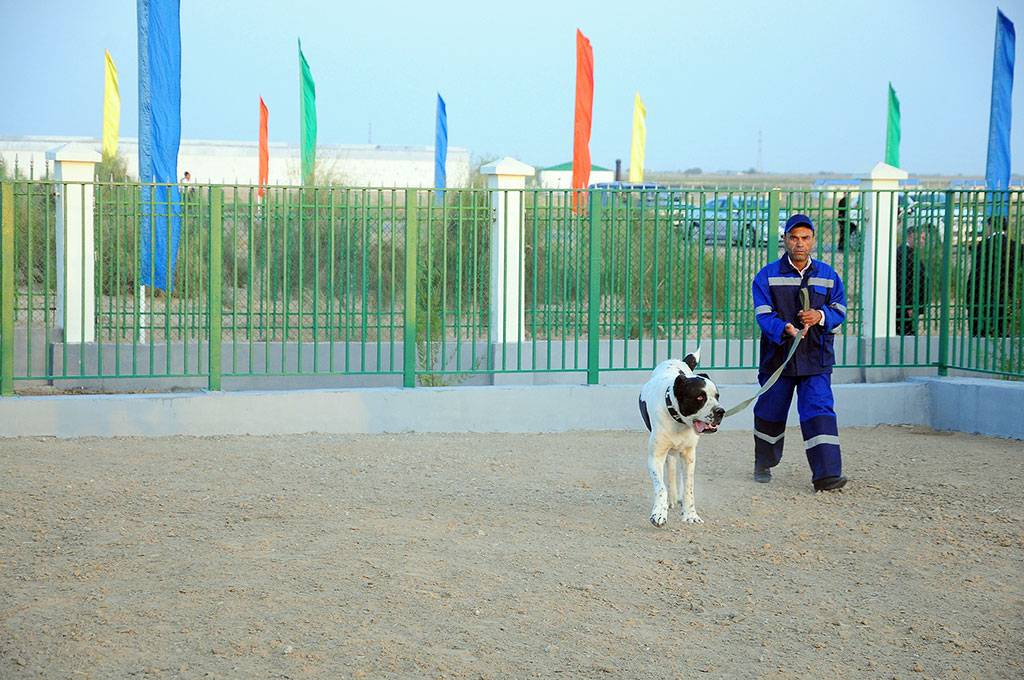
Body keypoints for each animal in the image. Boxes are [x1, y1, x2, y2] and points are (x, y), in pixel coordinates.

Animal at [634, 350, 724, 524]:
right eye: (700, 398)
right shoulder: (656, 456)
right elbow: (661, 486)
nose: (720, 411)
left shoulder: (689, 454)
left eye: (717, 396)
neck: (677, 419)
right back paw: (672, 499)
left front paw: (690, 514)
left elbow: (689, 487)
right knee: (671, 468)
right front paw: (659, 512)